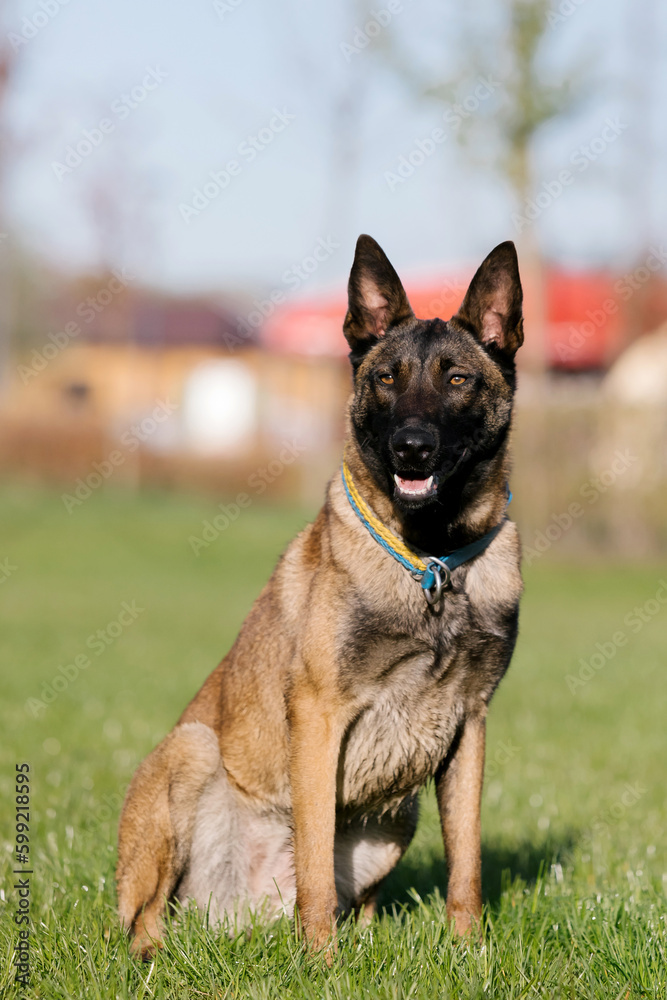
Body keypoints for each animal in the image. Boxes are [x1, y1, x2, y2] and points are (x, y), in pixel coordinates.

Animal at [117, 230, 524, 956]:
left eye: (457, 379)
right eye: (387, 378)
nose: (411, 448)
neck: (431, 561)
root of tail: (234, 916)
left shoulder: (470, 724)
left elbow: (467, 864)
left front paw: (469, 953)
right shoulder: (318, 715)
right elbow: (311, 857)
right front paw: (321, 964)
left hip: (397, 816)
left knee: (356, 898)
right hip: (189, 752)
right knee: (145, 916)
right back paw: (157, 957)